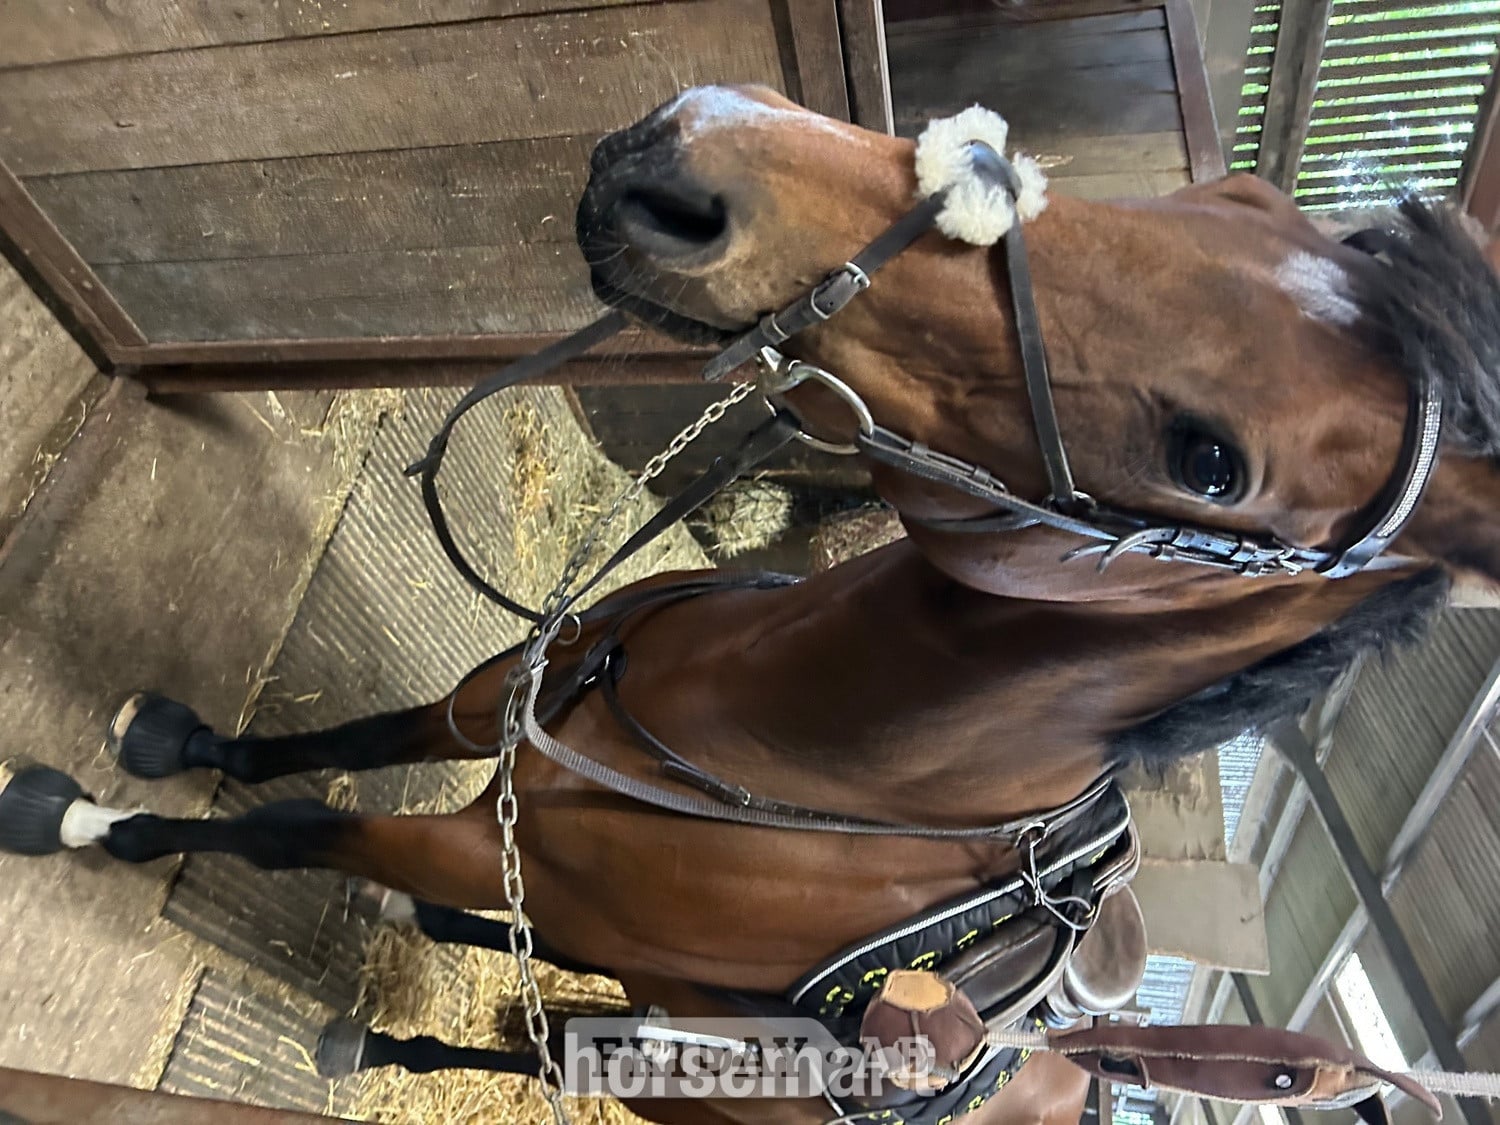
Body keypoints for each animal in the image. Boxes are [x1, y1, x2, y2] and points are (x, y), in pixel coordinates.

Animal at [4, 84, 1500, 1125]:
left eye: (1212, 463)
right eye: (1228, 194)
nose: (701, 156)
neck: (775, 748)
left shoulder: (486, 845)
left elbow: (296, 831)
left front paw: (77, 819)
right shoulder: (505, 698)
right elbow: (347, 741)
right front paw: (173, 746)